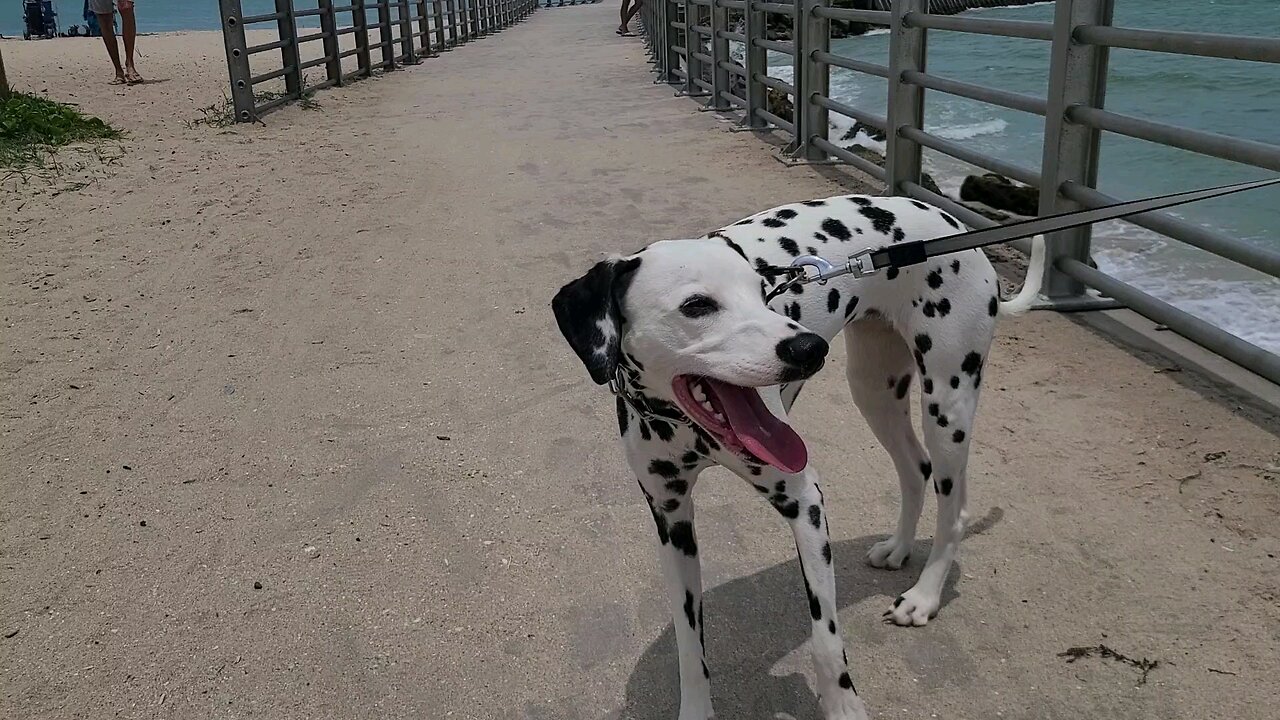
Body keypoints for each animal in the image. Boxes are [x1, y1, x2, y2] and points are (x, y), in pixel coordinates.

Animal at [547, 193, 1039, 712]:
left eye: (762, 290)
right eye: (697, 305)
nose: (808, 347)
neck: (683, 424)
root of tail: (953, 224)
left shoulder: (805, 503)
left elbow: (826, 638)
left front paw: (844, 707)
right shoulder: (672, 521)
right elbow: (689, 645)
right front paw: (697, 708)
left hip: (947, 403)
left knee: (953, 506)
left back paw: (924, 596)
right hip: (874, 390)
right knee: (914, 468)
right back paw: (899, 548)